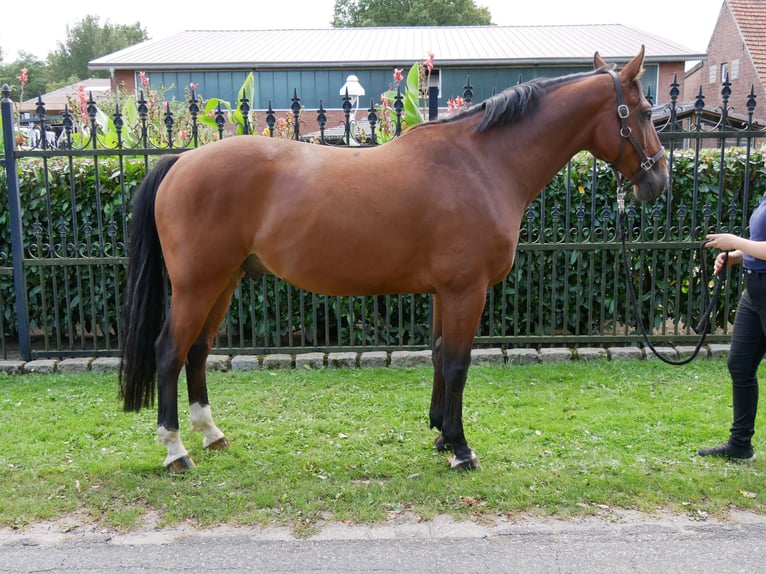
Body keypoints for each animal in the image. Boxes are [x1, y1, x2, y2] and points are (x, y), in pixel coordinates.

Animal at [121, 47, 672, 472]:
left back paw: (211, 434)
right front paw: (462, 450)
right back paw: (175, 451)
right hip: (197, 284)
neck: (481, 165)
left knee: (197, 352)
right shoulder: (467, 291)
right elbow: (458, 364)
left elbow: (439, 356)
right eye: (647, 113)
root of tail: (182, 160)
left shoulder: (446, 293)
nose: (659, 180)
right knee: (170, 352)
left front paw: (441, 434)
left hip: (225, 281)